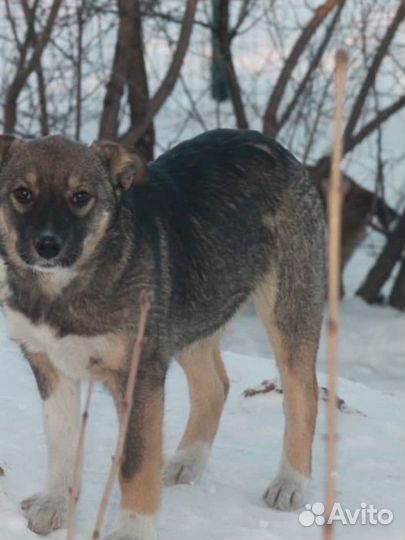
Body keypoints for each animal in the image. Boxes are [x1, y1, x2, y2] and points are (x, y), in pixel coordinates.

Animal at [0, 131, 324, 540]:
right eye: (23, 193)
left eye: (81, 197)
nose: (47, 246)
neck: (64, 289)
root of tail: (273, 146)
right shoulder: (47, 364)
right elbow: (61, 441)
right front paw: (54, 504)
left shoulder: (141, 374)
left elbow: (135, 461)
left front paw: (132, 529)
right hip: (189, 315)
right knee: (215, 385)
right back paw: (187, 461)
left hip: (287, 307)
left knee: (303, 394)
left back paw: (290, 482)